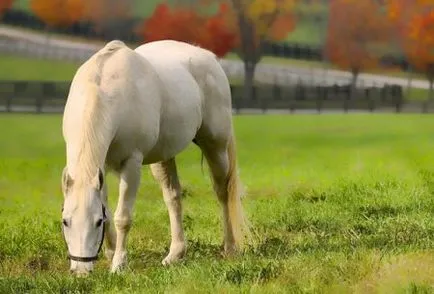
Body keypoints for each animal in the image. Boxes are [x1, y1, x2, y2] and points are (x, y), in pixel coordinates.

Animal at [59, 39, 249, 276]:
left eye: (96, 222)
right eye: (65, 221)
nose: (81, 271)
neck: (104, 89)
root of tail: (210, 58)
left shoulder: (131, 164)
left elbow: (123, 217)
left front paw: (119, 264)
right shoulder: (100, 167)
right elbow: (109, 210)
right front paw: (111, 253)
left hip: (216, 146)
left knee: (223, 192)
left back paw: (230, 247)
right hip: (164, 157)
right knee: (173, 197)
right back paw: (175, 255)